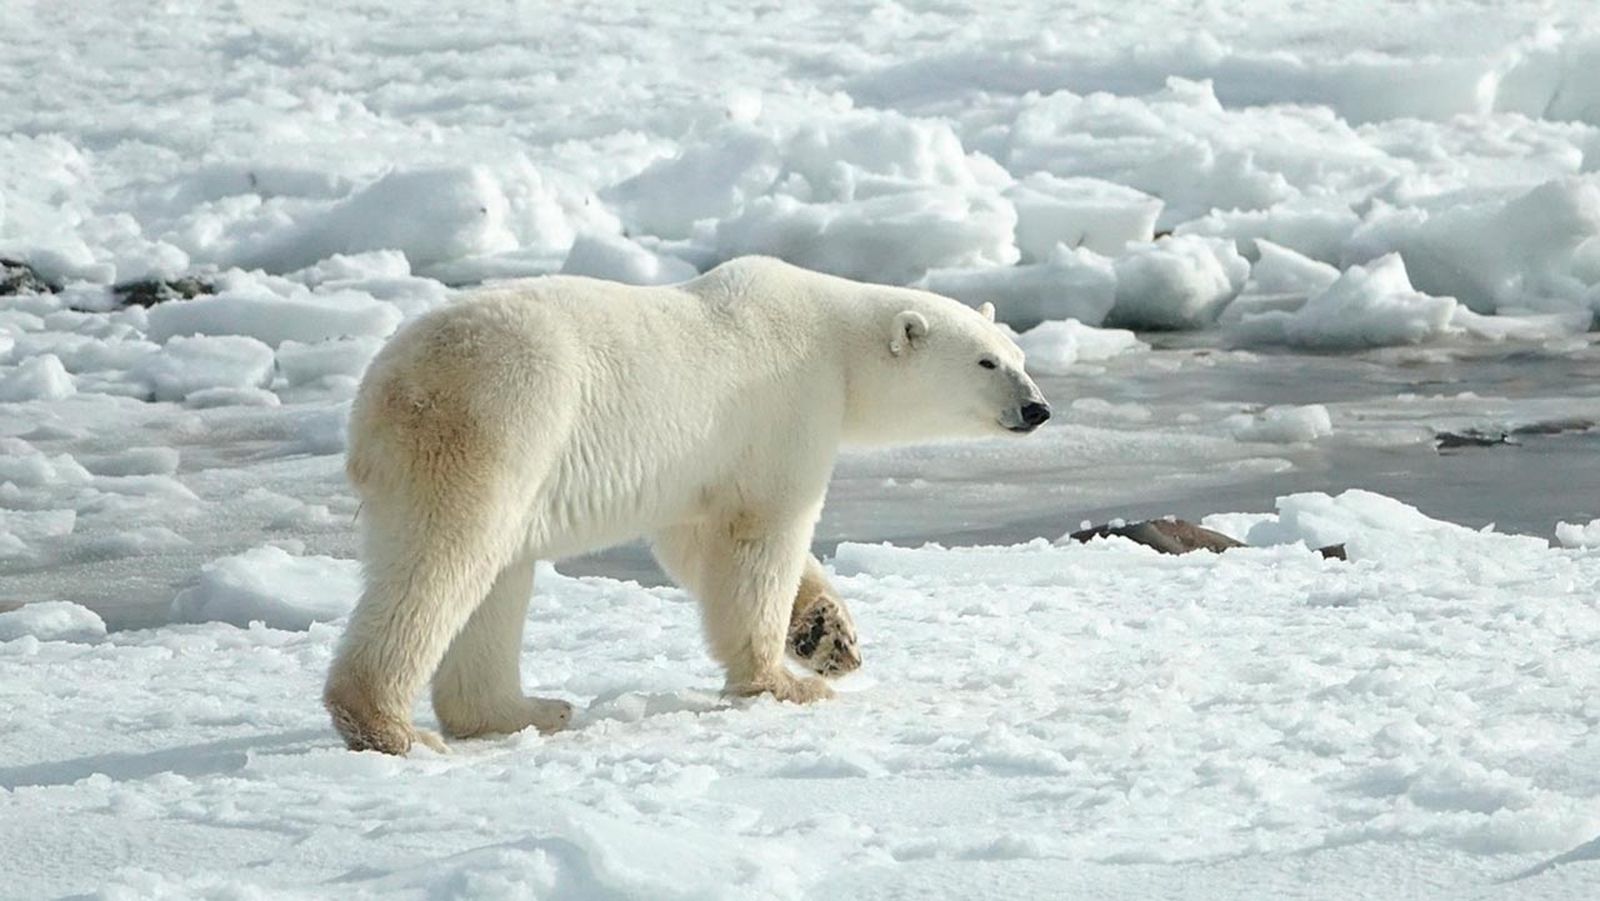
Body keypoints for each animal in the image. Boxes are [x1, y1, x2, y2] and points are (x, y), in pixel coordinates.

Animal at [323, 256, 1050, 754]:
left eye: (1019, 353)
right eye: (986, 363)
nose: (1038, 408)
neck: (834, 339)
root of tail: (384, 390)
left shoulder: (701, 464)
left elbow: (696, 542)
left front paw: (828, 637)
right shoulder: (784, 406)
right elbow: (761, 534)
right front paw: (785, 681)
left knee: (497, 577)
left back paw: (526, 709)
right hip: (498, 420)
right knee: (446, 560)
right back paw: (391, 727)